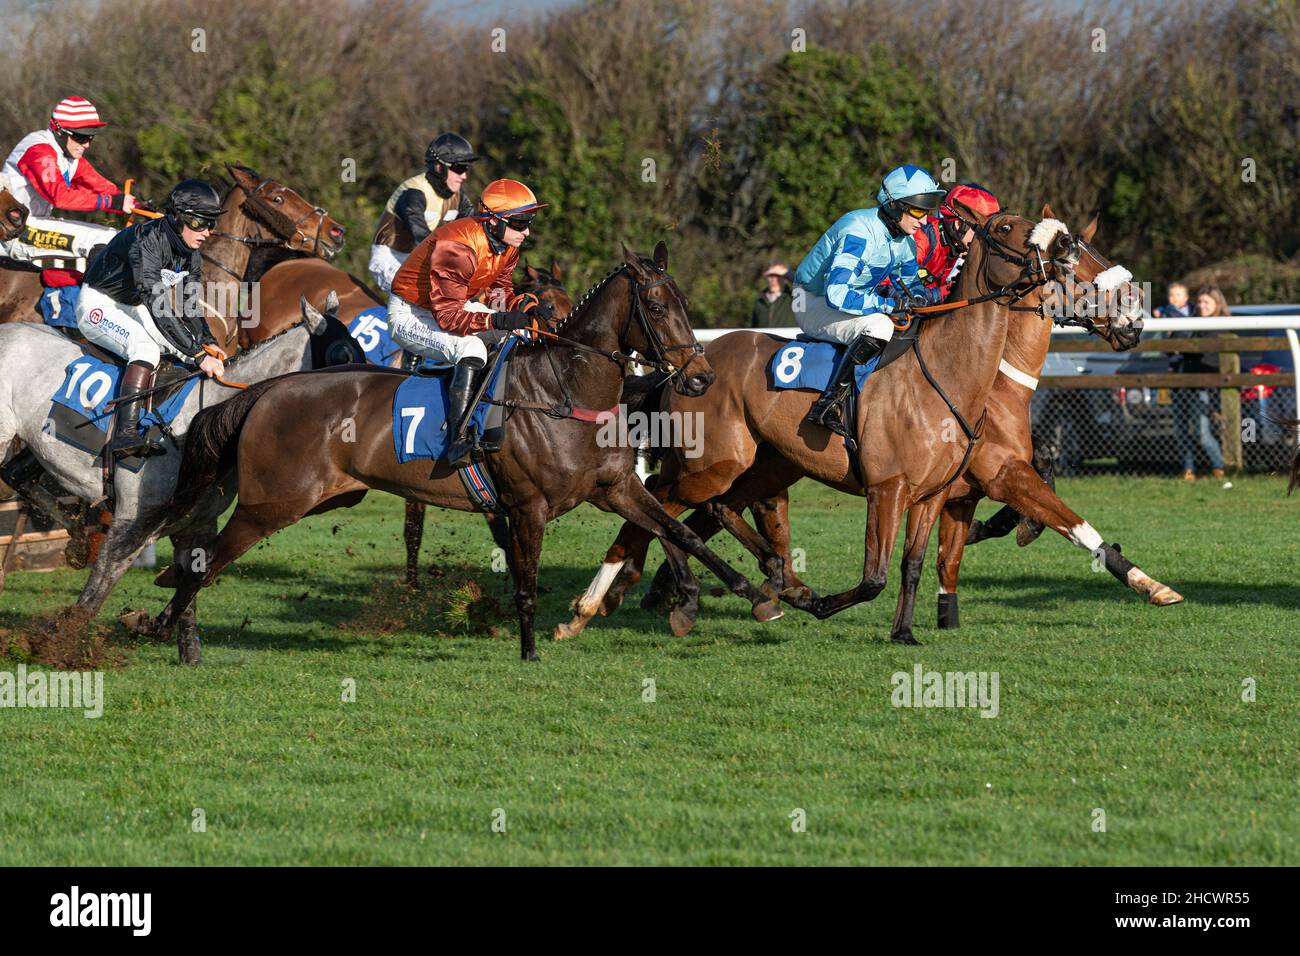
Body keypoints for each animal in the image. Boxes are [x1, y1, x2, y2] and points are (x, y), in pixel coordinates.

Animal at [152, 244, 780, 665]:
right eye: (655, 302)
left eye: (684, 301)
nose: (700, 377)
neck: (564, 391)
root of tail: (264, 390)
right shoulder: (527, 506)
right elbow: (527, 579)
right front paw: (529, 650)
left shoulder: (616, 489)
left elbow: (677, 531)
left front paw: (742, 596)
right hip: (272, 504)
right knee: (204, 559)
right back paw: (160, 624)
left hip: (318, 499)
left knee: (199, 557)